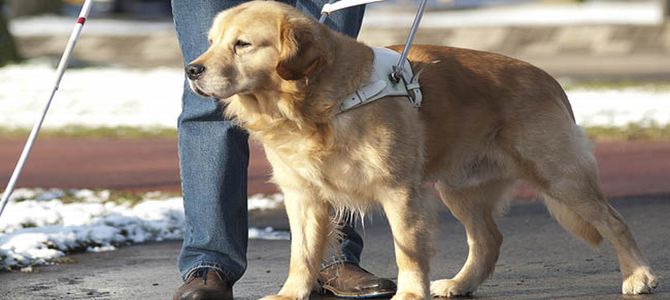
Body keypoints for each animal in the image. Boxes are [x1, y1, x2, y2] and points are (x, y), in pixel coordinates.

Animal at [186, 1, 660, 298]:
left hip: (558, 173)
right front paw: (290, 293)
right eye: (210, 41)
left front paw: (412, 293)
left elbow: (407, 249)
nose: (191, 70)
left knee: (615, 220)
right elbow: (302, 255)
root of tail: (547, 77)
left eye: (242, 44)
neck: (319, 101)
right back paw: (460, 284)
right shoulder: (304, 196)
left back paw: (639, 275)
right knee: (488, 240)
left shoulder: (399, 189)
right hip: (459, 187)